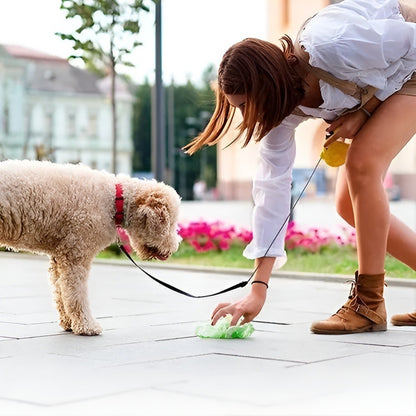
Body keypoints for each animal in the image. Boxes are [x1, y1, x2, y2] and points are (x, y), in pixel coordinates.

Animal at [0, 159, 182, 334]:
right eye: (170, 223)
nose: (174, 248)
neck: (116, 200)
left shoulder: (59, 256)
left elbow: (61, 293)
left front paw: (68, 323)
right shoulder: (77, 252)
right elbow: (76, 294)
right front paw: (86, 326)